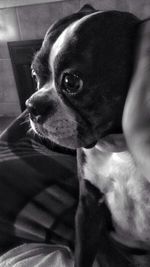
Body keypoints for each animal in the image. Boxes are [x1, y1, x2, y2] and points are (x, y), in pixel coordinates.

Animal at [25, 4, 150, 267]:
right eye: (34, 75)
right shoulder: (88, 210)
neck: (118, 147)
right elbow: (82, 255)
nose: (31, 106)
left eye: (72, 82)